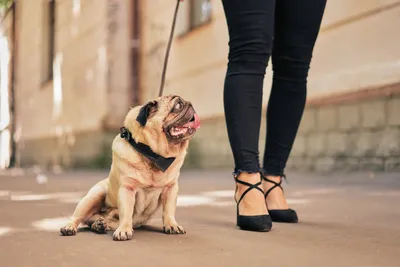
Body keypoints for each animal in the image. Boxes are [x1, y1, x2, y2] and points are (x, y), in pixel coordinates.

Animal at [59, 95, 200, 242]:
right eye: (178, 105)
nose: (190, 104)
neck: (153, 156)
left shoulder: (171, 188)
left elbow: (169, 211)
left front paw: (172, 225)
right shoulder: (127, 189)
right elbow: (126, 213)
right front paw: (124, 230)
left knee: (99, 221)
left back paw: (99, 225)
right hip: (92, 197)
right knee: (77, 217)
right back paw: (70, 227)